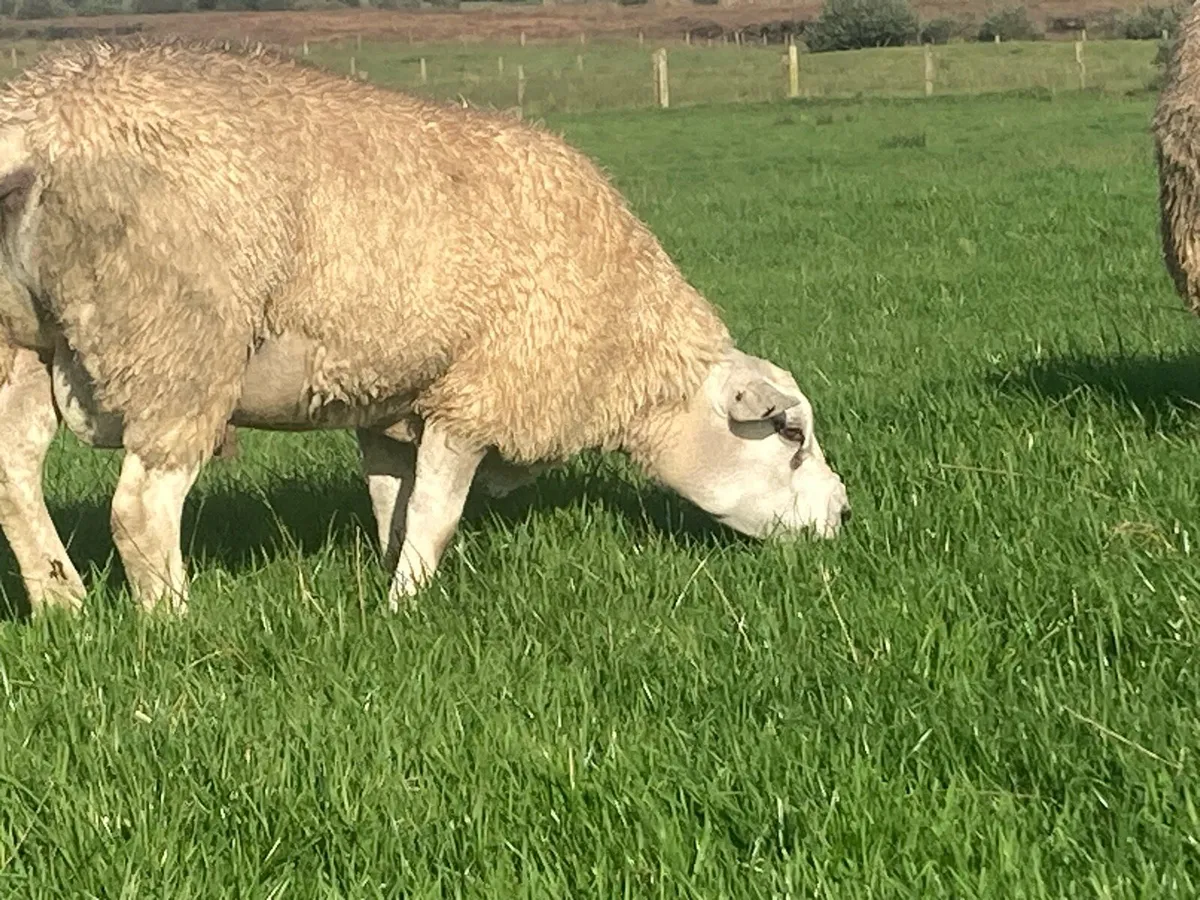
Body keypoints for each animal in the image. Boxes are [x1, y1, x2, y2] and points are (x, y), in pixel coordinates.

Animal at [0, 38, 850, 616]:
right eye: (789, 432)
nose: (843, 517)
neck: (622, 343)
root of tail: (39, 124)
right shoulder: (478, 393)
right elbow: (438, 516)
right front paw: (408, 602)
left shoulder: (392, 401)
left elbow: (393, 503)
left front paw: (389, 578)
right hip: (173, 341)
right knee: (140, 510)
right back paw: (174, 621)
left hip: (23, 347)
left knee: (15, 478)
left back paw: (64, 608)